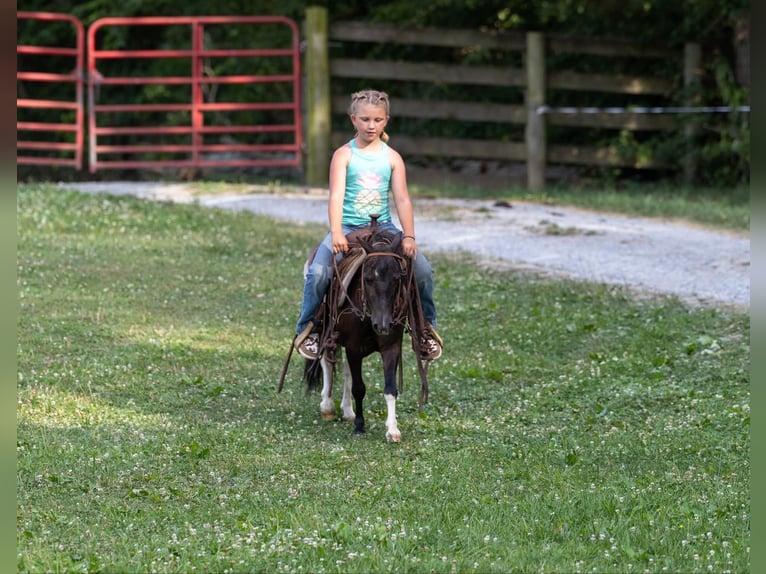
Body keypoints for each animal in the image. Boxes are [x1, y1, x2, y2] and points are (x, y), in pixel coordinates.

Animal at [280, 218, 428, 444]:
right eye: (367, 278)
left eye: (397, 277)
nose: (382, 325)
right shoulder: (353, 346)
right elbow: (359, 388)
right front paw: (359, 426)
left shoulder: (391, 345)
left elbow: (390, 388)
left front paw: (392, 429)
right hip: (326, 329)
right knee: (327, 363)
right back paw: (328, 407)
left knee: (346, 372)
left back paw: (348, 411)